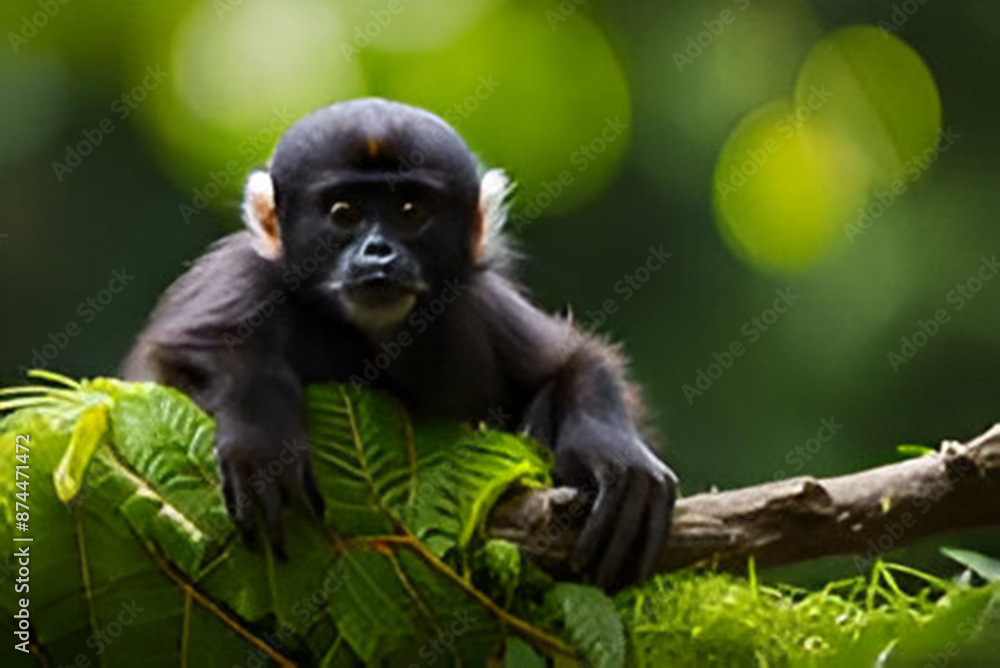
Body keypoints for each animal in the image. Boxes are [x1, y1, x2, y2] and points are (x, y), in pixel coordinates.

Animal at [123, 98, 677, 592]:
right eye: (344, 212)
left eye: (411, 210)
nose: (378, 251)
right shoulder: (241, 277)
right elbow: (187, 350)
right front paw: (262, 435)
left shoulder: (473, 301)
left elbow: (572, 360)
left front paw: (614, 454)